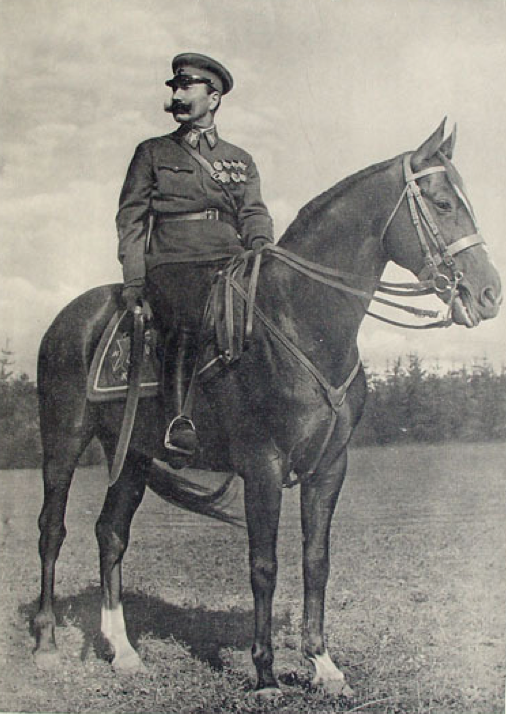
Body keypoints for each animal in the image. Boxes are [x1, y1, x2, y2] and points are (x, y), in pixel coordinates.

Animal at [33, 120, 501, 697]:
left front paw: (323, 664)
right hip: (63, 441)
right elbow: (264, 565)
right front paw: (264, 673)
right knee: (52, 530)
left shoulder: (330, 467)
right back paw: (47, 643)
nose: (489, 293)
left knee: (111, 534)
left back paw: (123, 651)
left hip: (134, 455)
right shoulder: (263, 466)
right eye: (441, 203)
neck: (302, 320)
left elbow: (316, 561)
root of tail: (70, 319)